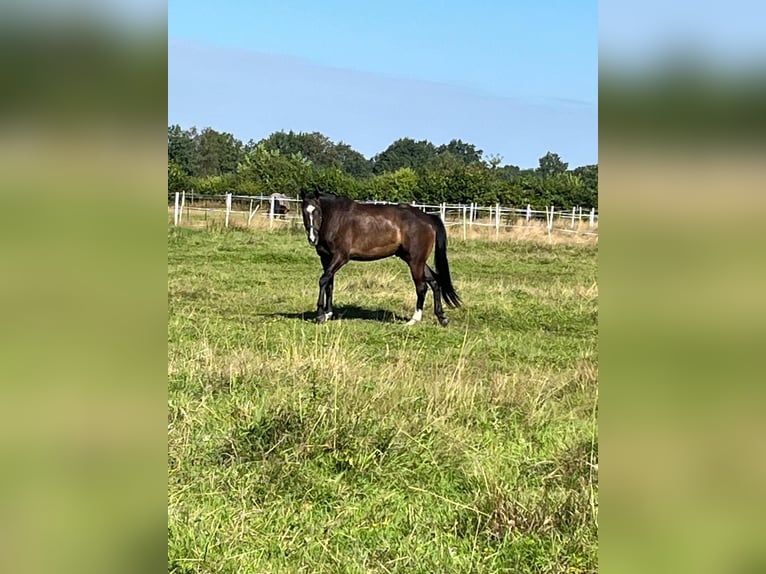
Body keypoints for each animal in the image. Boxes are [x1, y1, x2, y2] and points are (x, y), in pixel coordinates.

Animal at [298, 191, 462, 326]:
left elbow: (323, 280)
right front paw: (328, 314)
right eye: (304, 211)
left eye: (317, 211)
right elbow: (329, 284)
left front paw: (320, 315)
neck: (336, 218)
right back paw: (441, 317)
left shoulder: (340, 257)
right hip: (415, 260)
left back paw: (414, 319)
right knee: (434, 282)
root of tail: (427, 217)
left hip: (416, 261)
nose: (312, 238)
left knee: (422, 287)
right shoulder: (326, 259)